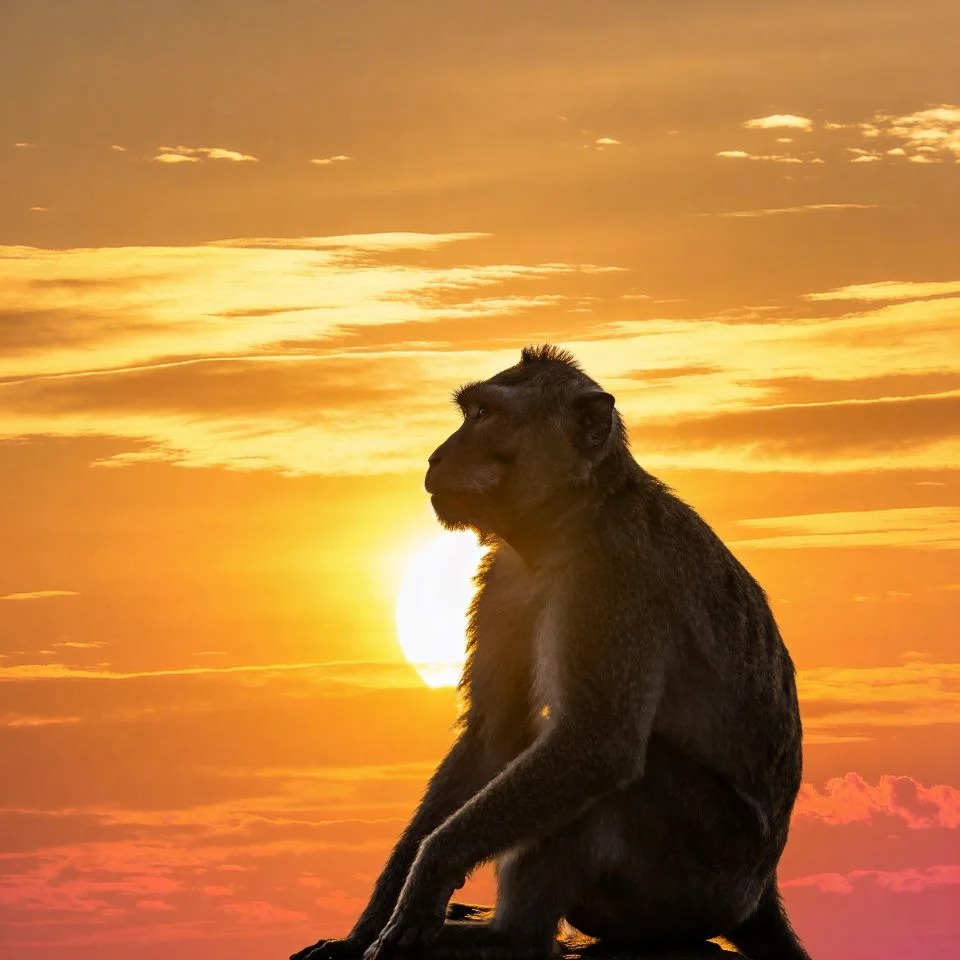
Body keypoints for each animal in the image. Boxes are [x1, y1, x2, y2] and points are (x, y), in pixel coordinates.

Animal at [291, 345, 811, 960]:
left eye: (484, 414)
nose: (436, 456)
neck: (572, 519)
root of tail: (762, 891)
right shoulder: (504, 579)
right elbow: (492, 739)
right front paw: (365, 928)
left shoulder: (612, 575)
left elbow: (595, 743)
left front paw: (431, 872)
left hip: (703, 873)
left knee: (618, 783)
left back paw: (510, 938)